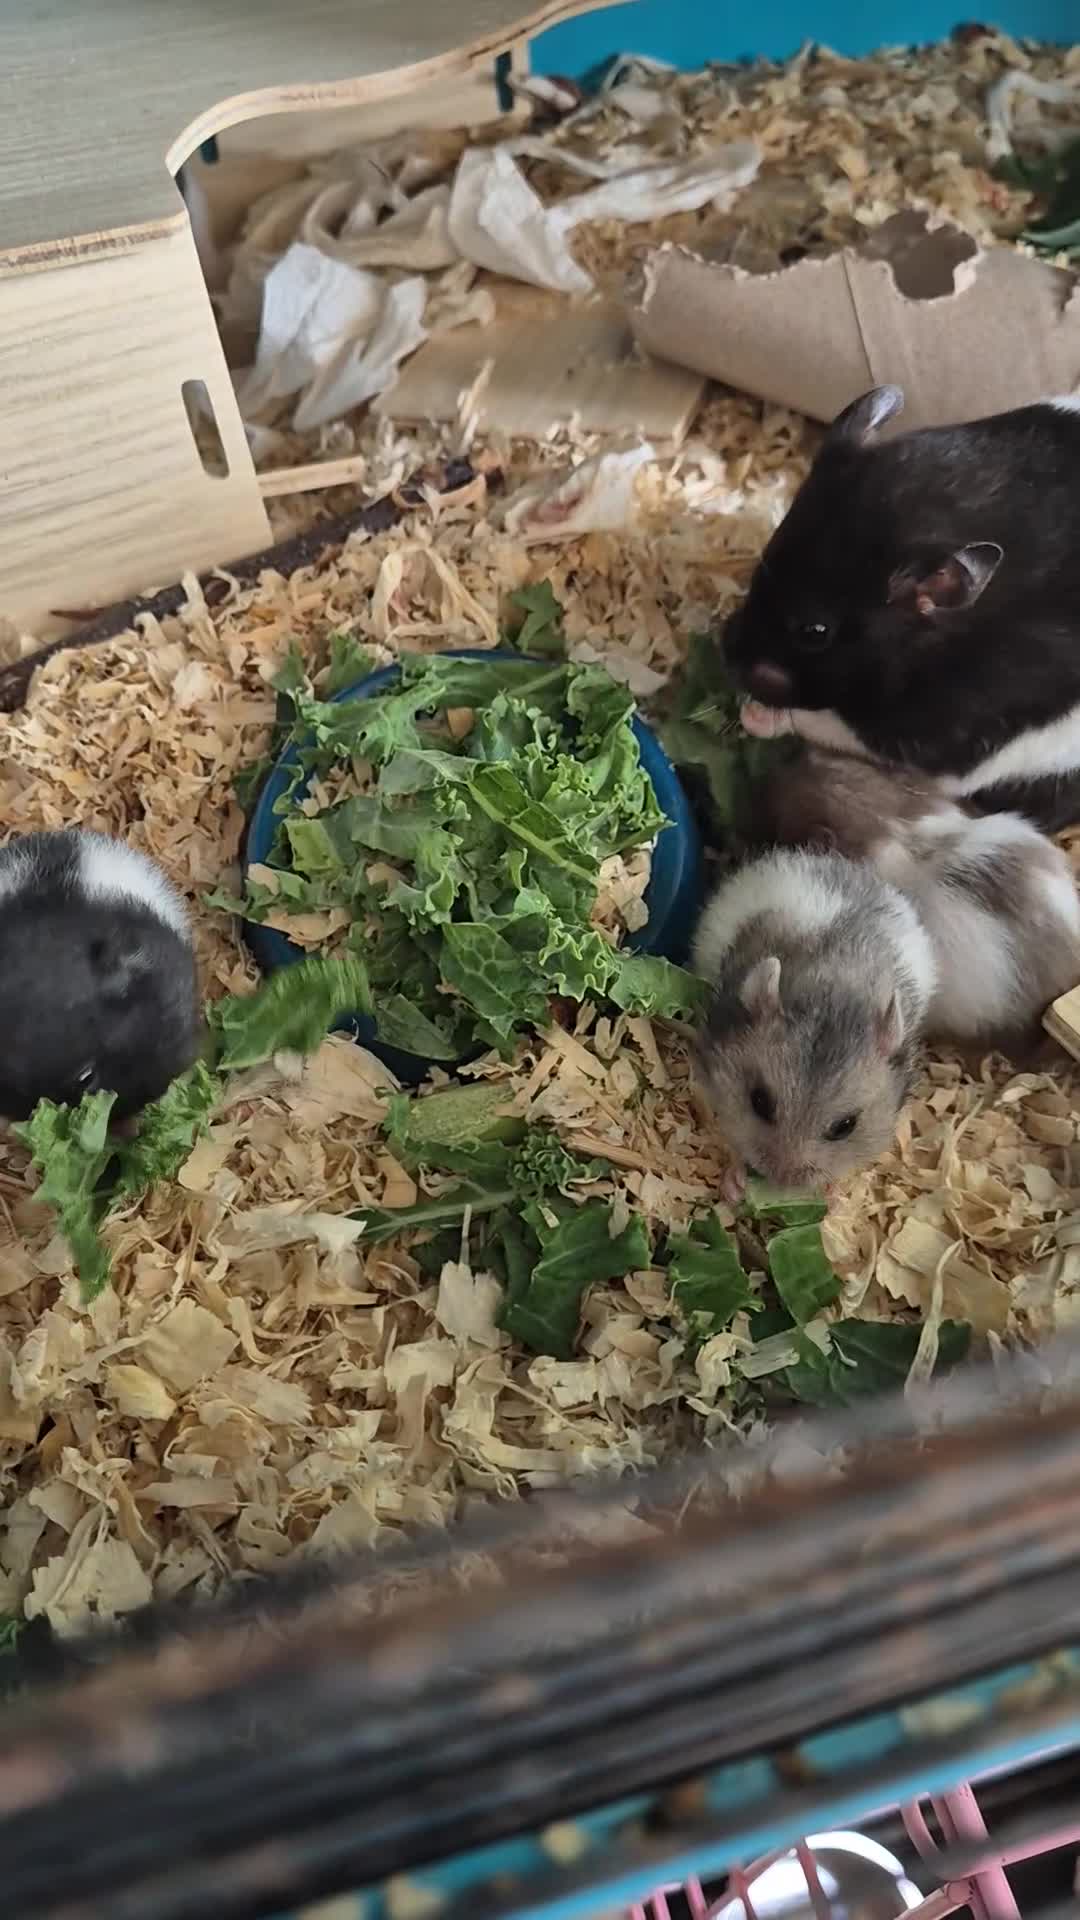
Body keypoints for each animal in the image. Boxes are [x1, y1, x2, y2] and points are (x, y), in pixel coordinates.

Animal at [690, 848, 935, 1196]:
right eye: (759, 1102)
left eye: (845, 1127)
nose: (781, 1180)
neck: (831, 988)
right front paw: (733, 1185)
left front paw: (831, 1194)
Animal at [723, 384, 1080, 831]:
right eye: (760, 571)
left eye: (814, 632)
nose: (726, 653)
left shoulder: (937, 739)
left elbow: (829, 725)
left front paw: (754, 715)